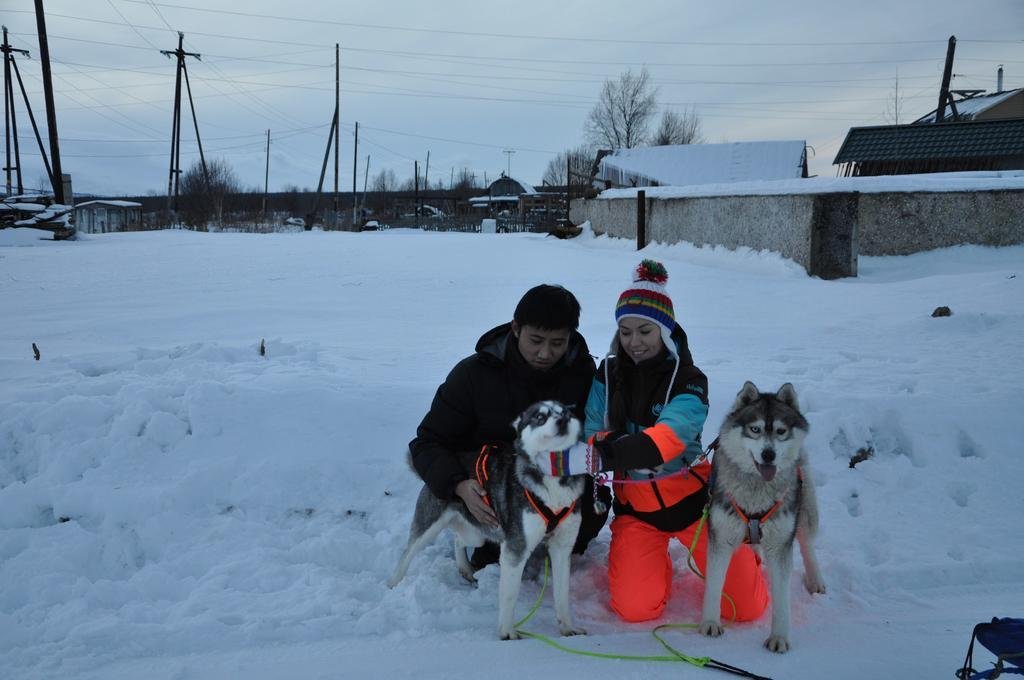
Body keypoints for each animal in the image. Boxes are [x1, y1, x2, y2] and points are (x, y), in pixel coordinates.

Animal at [387, 399, 589, 639]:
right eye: (540, 417)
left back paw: (464, 567)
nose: (562, 421)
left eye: (566, 414)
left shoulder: (562, 547)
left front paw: (567, 627)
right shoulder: (515, 548)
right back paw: (393, 584)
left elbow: (562, 594)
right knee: (408, 552)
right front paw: (507, 632)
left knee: (459, 539)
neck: (553, 482)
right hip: (430, 525)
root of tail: (454, 457)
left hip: (477, 533)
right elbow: (509, 596)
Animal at [700, 383, 827, 655]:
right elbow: (715, 584)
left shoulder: (780, 545)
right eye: (755, 429)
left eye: (781, 431)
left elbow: (781, 598)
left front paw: (779, 636)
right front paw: (710, 622)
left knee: (807, 544)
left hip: (805, 505)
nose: (768, 454)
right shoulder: (721, 538)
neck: (755, 495)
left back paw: (815, 579)